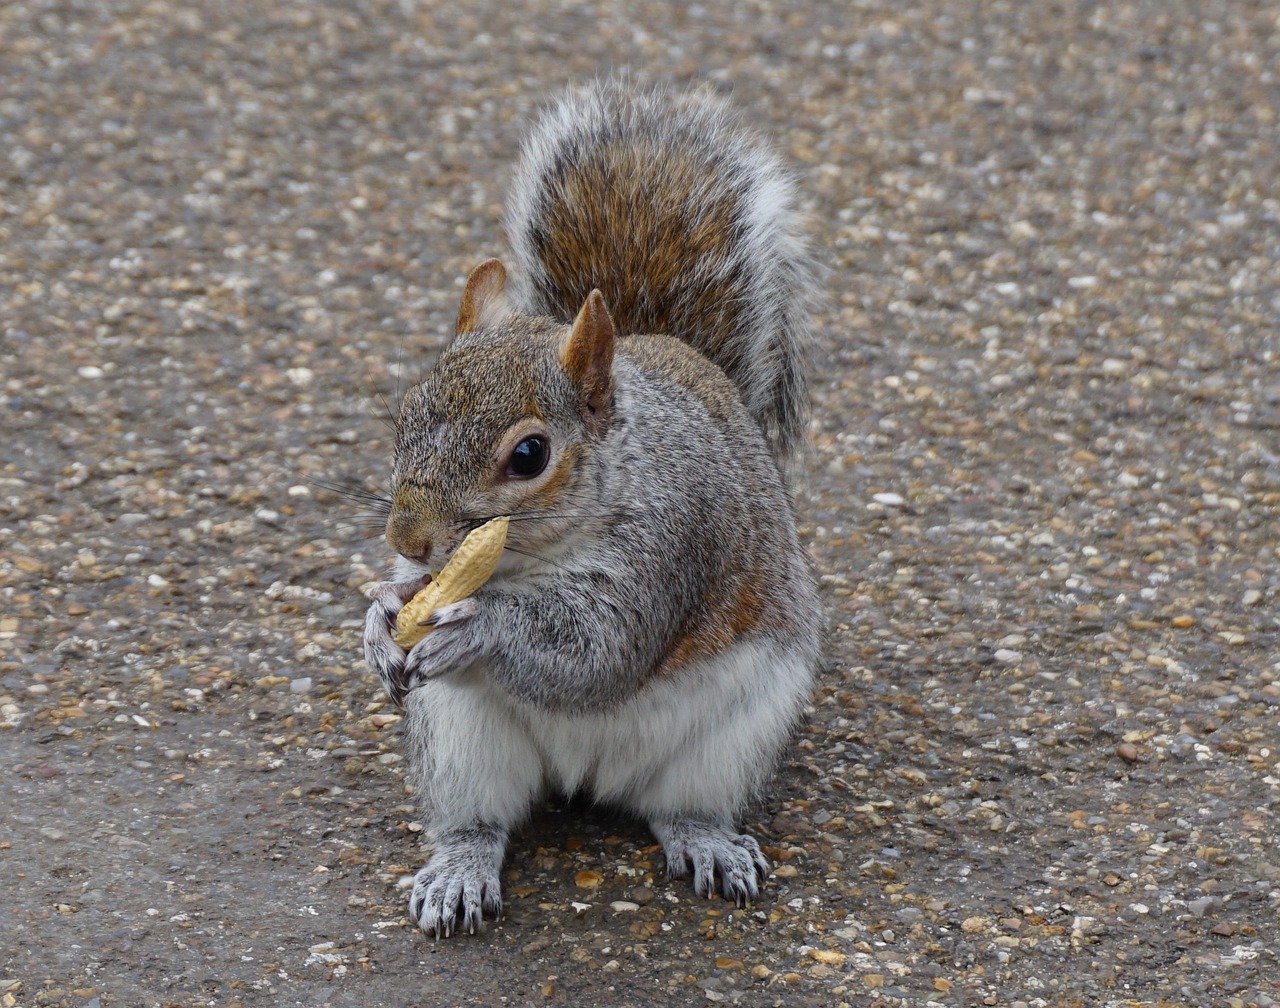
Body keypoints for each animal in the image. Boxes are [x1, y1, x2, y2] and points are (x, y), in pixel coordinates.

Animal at [361, 80, 822, 937]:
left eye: (529, 456)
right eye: (404, 415)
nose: (405, 534)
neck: (530, 561)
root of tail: (585, 776)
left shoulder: (672, 544)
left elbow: (598, 652)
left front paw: (476, 628)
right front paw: (380, 617)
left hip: (729, 741)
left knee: (681, 807)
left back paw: (708, 842)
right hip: (461, 742)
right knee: (481, 820)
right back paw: (460, 869)